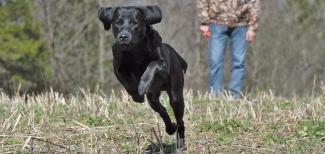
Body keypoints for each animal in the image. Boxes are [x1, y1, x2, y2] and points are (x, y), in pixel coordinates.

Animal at [97, 6, 186, 148]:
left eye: (135, 23)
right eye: (117, 22)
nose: (123, 36)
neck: (136, 50)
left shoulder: (162, 64)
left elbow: (152, 65)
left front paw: (143, 85)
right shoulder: (118, 67)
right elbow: (127, 82)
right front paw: (136, 94)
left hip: (176, 94)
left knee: (180, 119)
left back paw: (181, 142)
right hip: (153, 98)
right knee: (162, 109)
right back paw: (170, 128)